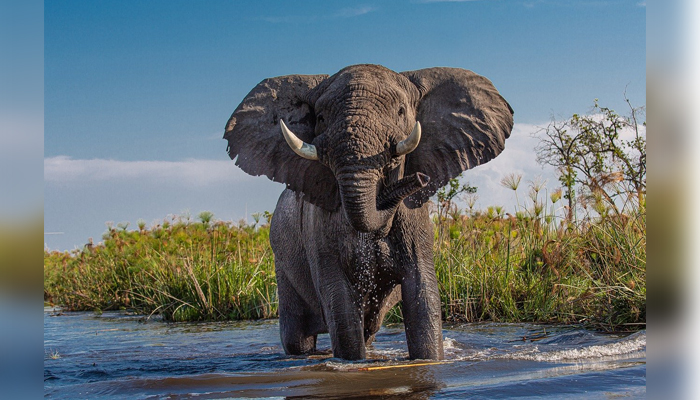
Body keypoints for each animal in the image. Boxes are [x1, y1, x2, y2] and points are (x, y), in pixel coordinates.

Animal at [224, 64, 513, 360]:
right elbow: (340, 303)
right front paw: (351, 363)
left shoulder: (416, 222)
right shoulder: (319, 228)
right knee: (298, 338)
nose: (420, 178)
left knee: (368, 330)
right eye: (320, 117)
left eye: (401, 111)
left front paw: (429, 360)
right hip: (282, 260)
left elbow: (423, 295)